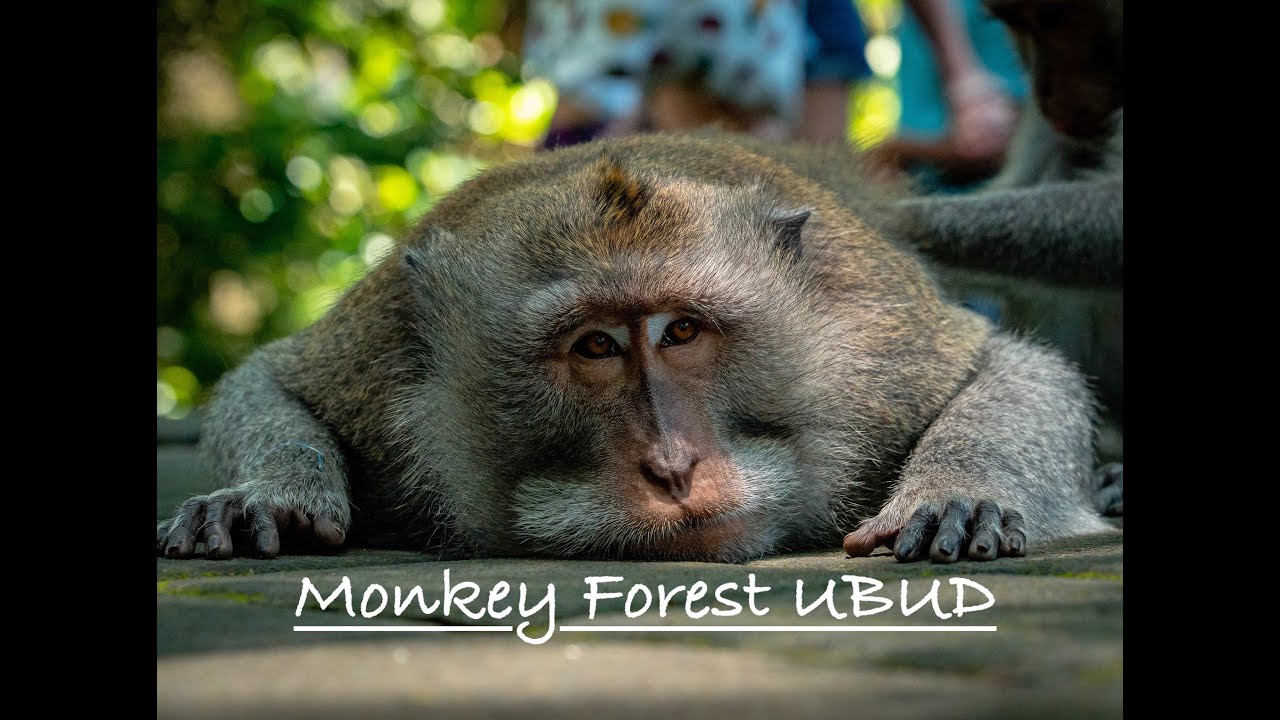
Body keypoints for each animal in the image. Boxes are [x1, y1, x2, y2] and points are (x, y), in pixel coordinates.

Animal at [156, 132, 1114, 565]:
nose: (672, 465)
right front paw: (270, 495)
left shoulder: (877, 349)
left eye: (681, 331)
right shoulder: (378, 364)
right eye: (596, 346)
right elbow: (266, 382)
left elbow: (1008, 366)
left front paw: (956, 493)